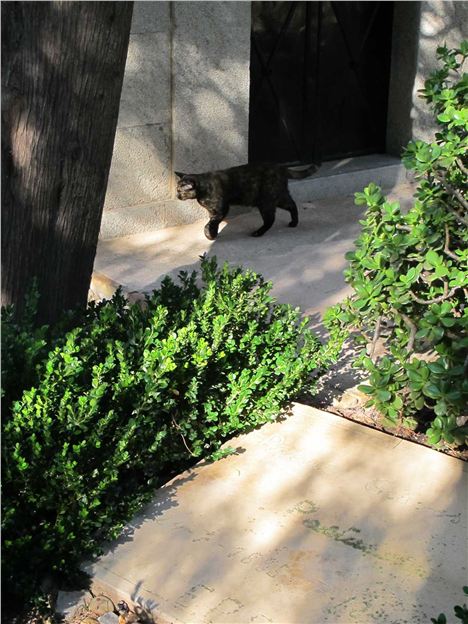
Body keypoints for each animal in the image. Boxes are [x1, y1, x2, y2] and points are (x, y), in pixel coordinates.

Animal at [176, 162, 318, 240]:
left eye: (180, 191)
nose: (177, 196)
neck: (204, 188)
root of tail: (281, 168)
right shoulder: (213, 211)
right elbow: (213, 223)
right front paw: (213, 234)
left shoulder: (222, 209)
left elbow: (211, 223)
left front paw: (209, 234)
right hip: (279, 197)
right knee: (292, 205)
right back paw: (294, 223)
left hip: (266, 201)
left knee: (270, 219)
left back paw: (258, 233)